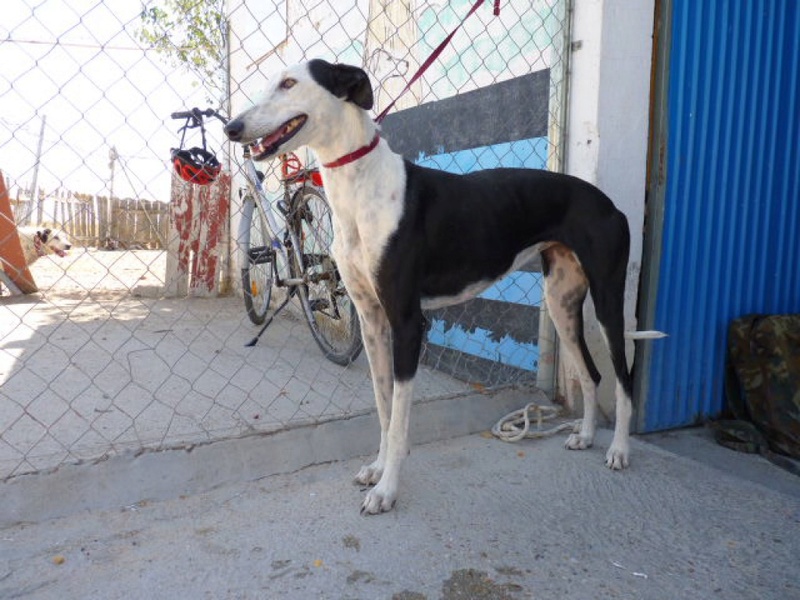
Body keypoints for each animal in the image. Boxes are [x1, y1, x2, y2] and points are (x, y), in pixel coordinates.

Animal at [223, 58, 656, 512]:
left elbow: (399, 418)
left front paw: (387, 490)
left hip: (607, 300)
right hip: (561, 303)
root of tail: (609, 204)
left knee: (622, 377)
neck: (362, 187)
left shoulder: (408, 323)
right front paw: (377, 469)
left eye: (289, 83)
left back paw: (619, 450)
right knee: (592, 374)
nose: (232, 128)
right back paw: (587, 435)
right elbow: (384, 407)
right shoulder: (372, 322)